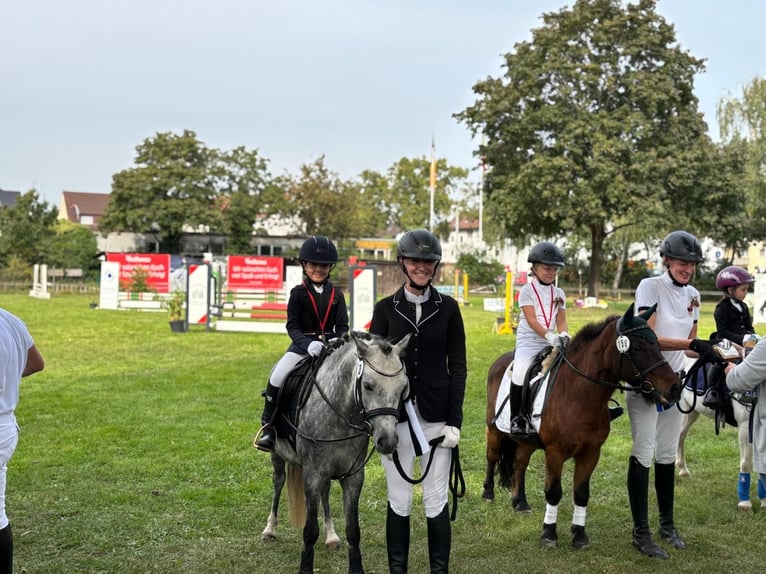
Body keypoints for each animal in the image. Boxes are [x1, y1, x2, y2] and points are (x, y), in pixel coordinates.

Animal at [266, 330, 408, 574]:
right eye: (368, 386)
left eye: (402, 388)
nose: (388, 442)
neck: (341, 413)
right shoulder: (312, 475)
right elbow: (310, 530)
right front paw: (305, 568)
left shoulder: (353, 477)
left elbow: (353, 529)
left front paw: (356, 568)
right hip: (277, 454)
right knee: (278, 481)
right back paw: (269, 529)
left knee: (325, 492)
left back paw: (331, 536)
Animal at [486, 304, 684, 552]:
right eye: (638, 347)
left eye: (658, 344)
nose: (675, 388)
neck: (579, 394)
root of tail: (501, 360)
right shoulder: (555, 453)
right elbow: (553, 492)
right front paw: (549, 534)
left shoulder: (591, 453)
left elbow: (581, 493)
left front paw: (579, 535)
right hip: (493, 430)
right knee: (492, 456)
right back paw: (487, 493)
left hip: (528, 441)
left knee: (520, 461)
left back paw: (520, 502)